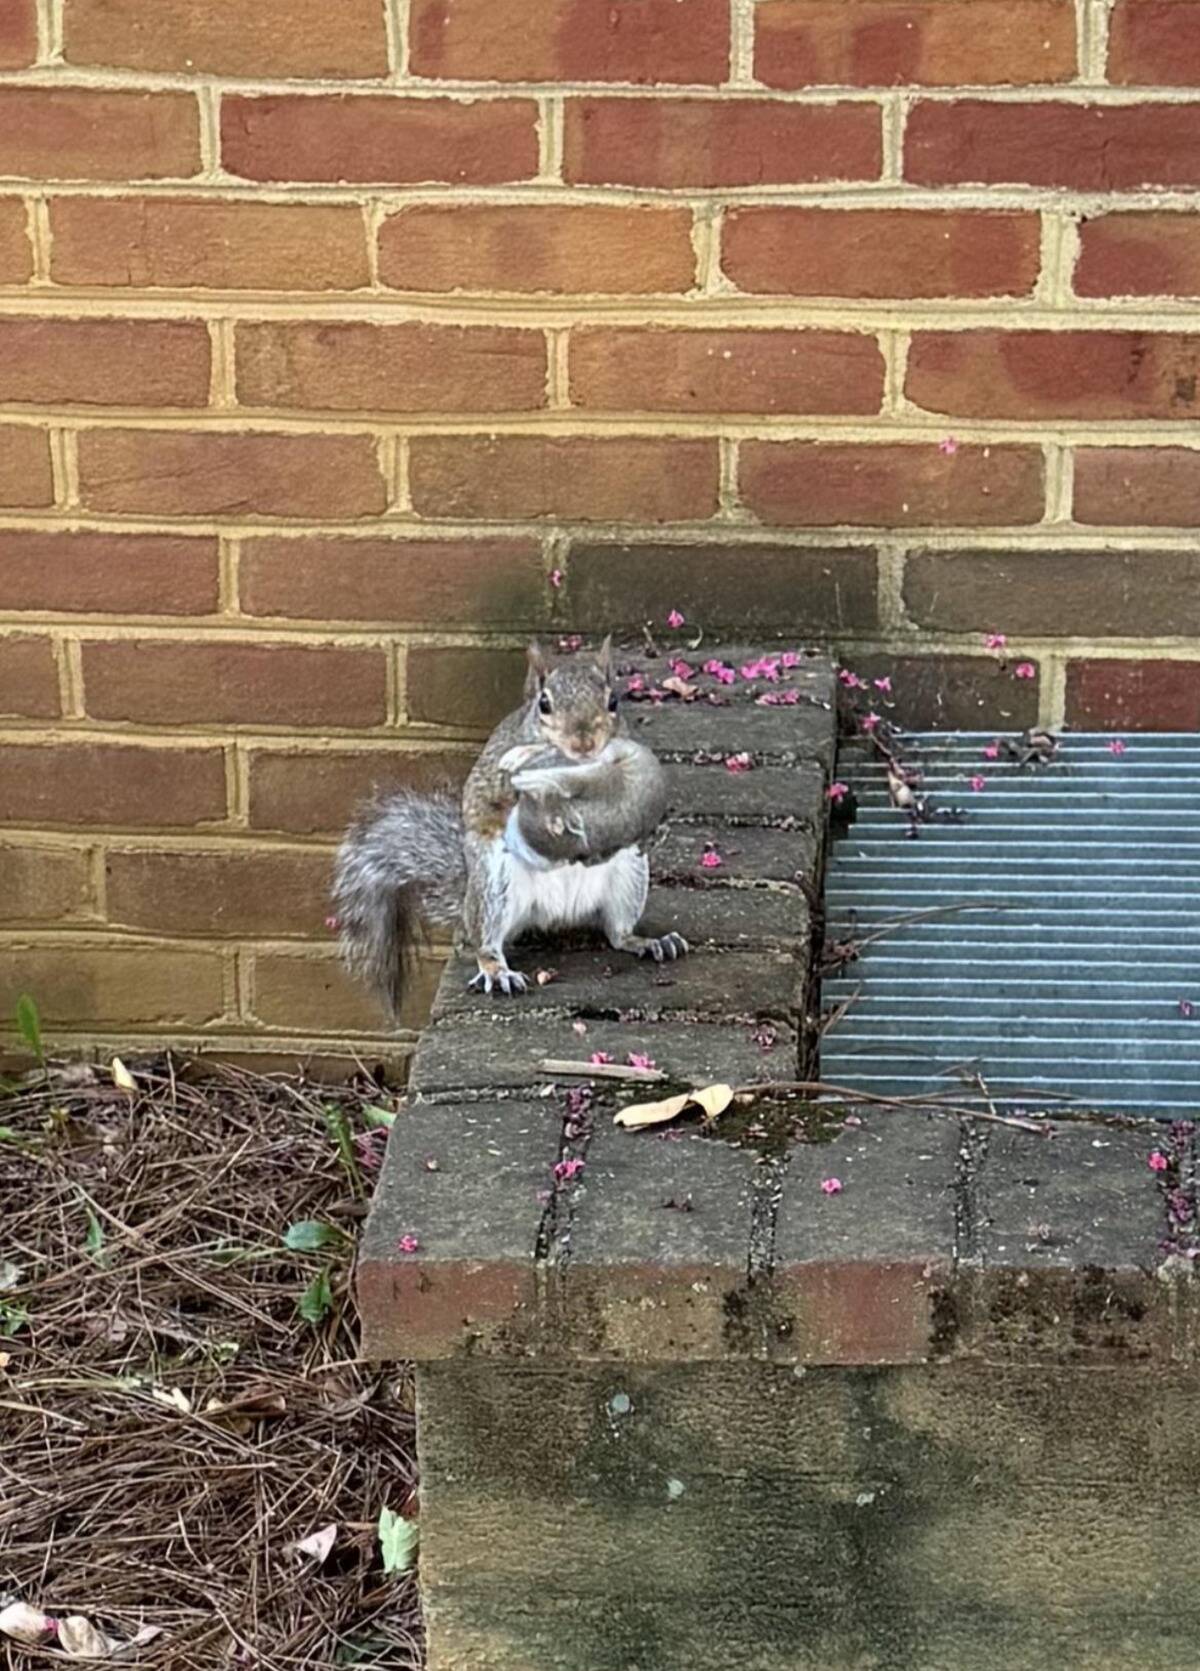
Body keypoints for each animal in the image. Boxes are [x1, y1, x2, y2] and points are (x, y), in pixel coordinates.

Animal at [333, 638, 687, 1020]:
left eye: (613, 702)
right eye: (544, 704)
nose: (584, 744)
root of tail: (553, 915)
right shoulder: (499, 775)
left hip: (630, 874)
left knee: (618, 933)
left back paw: (649, 942)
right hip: (492, 883)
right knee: (485, 941)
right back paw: (497, 970)